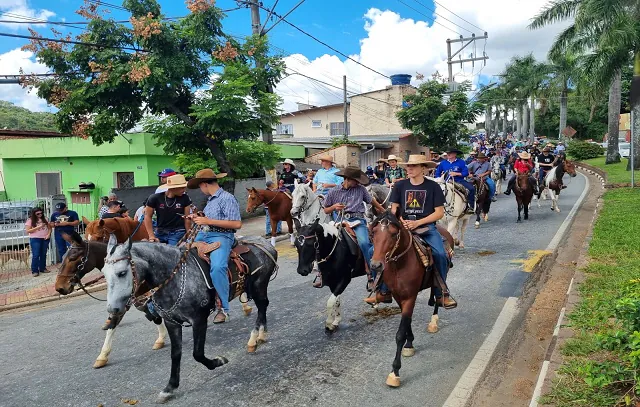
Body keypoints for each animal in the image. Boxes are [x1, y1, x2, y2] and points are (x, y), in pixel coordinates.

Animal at [102, 234, 278, 404]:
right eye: (104, 273)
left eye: (122, 273)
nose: (112, 310)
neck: (174, 279)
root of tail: (265, 244)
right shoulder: (171, 323)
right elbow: (175, 354)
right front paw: (170, 387)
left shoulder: (198, 319)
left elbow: (197, 353)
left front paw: (218, 361)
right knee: (263, 307)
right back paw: (261, 335)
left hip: (258, 286)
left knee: (262, 307)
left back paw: (254, 339)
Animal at [370, 212, 456, 390]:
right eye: (374, 233)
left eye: (393, 234)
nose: (376, 265)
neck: (400, 265)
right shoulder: (398, 296)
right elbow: (406, 321)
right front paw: (409, 344)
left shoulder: (410, 296)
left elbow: (400, 334)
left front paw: (394, 372)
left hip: (442, 273)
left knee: (438, 295)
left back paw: (434, 320)